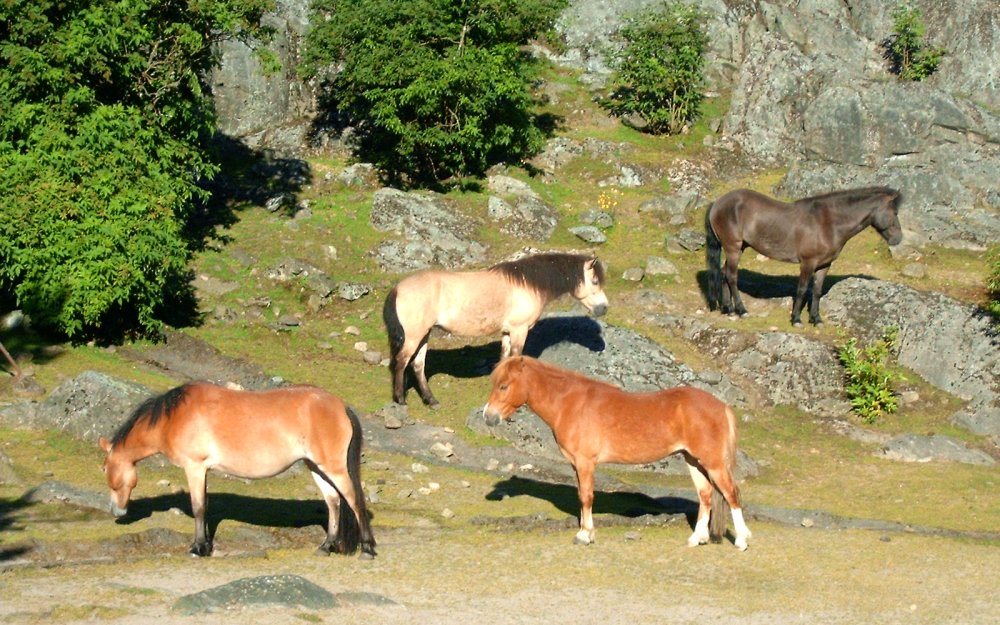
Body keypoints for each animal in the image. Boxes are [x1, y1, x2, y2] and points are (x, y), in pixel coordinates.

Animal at [99, 382, 377, 558]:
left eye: (106, 469)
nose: (117, 511)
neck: (173, 417)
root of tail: (341, 406)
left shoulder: (194, 467)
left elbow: (198, 507)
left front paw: (197, 548)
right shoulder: (203, 471)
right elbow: (205, 507)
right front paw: (206, 545)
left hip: (333, 468)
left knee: (354, 500)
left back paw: (367, 548)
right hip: (316, 467)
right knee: (334, 503)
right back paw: (326, 546)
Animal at [383, 252, 608, 407]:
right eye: (595, 281)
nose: (604, 308)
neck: (527, 285)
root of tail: (398, 289)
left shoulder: (507, 332)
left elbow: (504, 360)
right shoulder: (519, 331)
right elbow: (516, 359)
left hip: (424, 334)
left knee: (418, 365)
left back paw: (431, 401)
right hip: (414, 336)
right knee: (401, 362)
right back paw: (400, 399)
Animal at [483, 356, 751, 550]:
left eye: (504, 386)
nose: (488, 416)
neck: (570, 403)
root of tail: (721, 406)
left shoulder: (585, 463)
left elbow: (586, 497)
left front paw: (584, 535)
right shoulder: (576, 465)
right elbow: (582, 495)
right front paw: (587, 532)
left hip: (713, 463)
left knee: (731, 494)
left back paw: (741, 541)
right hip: (694, 460)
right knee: (706, 496)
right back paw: (697, 539)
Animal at [705, 186, 903, 326]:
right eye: (894, 213)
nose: (898, 239)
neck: (828, 222)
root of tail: (717, 203)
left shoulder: (824, 265)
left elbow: (816, 290)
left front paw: (816, 319)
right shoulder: (807, 263)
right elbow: (801, 289)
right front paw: (796, 319)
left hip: (738, 248)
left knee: (724, 273)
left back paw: (728, 309)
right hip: (733, 248)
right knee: (731, 276)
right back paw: (741, 310)